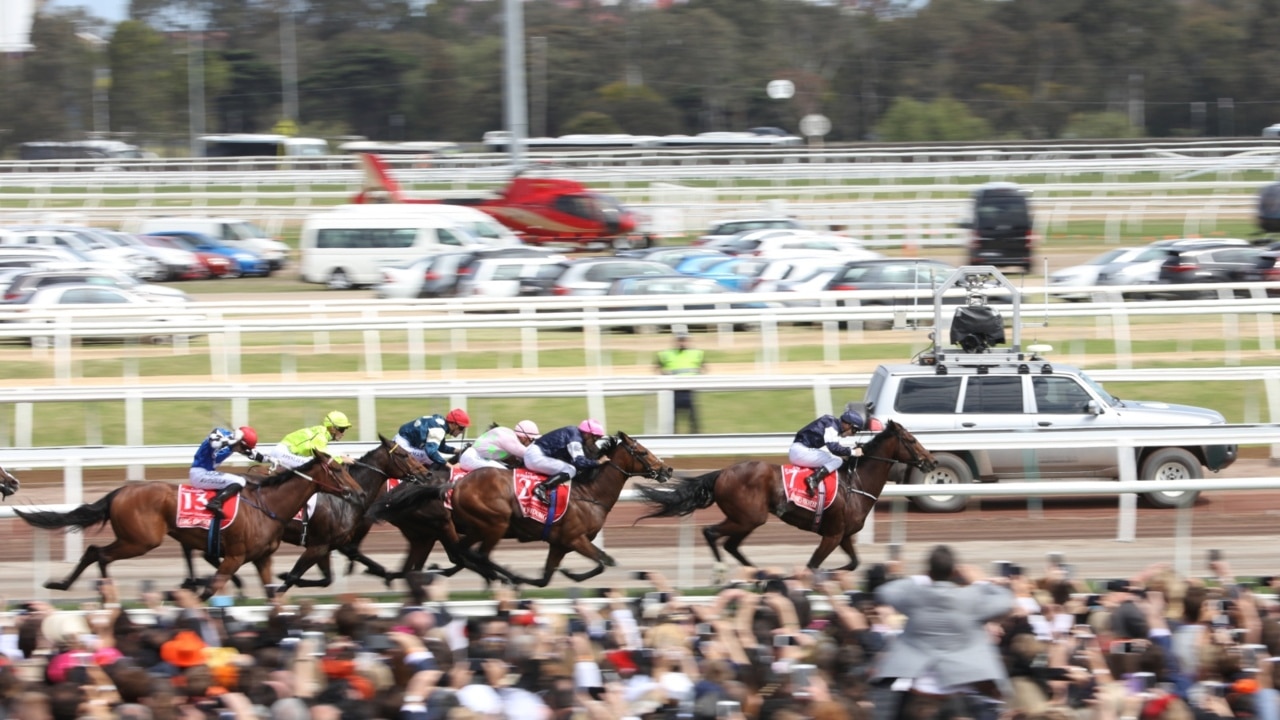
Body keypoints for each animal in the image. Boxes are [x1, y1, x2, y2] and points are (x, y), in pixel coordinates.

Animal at [16, 450, 360, 597]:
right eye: (336, 470)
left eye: (345, 468)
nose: (356, 492)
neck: (268, 506)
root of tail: (120, 491)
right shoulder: (234, 557)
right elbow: (210, 590)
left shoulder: (262, 558)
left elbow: (273, 593)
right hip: (140, 541)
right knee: (99, 554)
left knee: (92, 552)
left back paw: (63, 585)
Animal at [368, 427, 675, 586]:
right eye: (642, 451)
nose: (667, 469)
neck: (589, 492)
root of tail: (455, 486)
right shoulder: (575, 538)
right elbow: (603, 561)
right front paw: (572, 575)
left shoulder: (560, 543)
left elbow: (547, 577)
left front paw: (560, 575)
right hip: (488, 523)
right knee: (474, 555)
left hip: (442, 530)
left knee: (458, 554)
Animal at [634, 420, 936, 571]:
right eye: (911, 440)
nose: (931, 461)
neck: (855, 483)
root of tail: (722, 473)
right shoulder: (832, 534)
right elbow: (813, 565)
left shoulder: (843, 535)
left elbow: (853, 564)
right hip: (748, 518)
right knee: (711, 533)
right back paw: (724, 574)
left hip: (747, 520)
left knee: (731, 545)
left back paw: (756, 574)